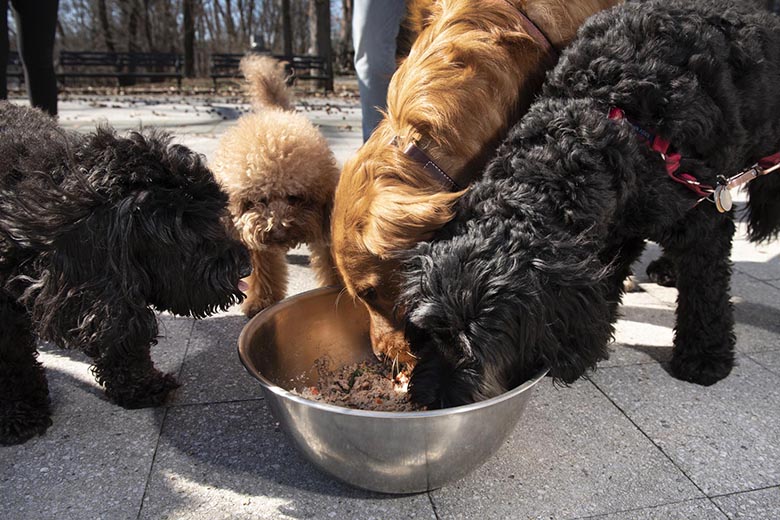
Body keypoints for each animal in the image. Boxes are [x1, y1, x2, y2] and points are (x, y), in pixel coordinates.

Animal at [0, 103, 250, 444]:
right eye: (184, 228)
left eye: (216, 212)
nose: (245, 265)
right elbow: (13, 360)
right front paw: (20, 413)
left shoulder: (106, 291)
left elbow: (123, 338)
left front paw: (140, 386)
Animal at [213, 57, 338, 316]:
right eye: (259, 200)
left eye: (295, 197)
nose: (278, 231)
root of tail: (274, 111)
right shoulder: (249, 232)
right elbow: (263, 269)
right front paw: (262, 301)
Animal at [402, 0, 780, 406]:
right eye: (430, 332)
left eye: (483, 344)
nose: (430, 400)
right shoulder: (615, 227)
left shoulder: (705, 213)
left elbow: (706, 290)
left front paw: (705, 358)